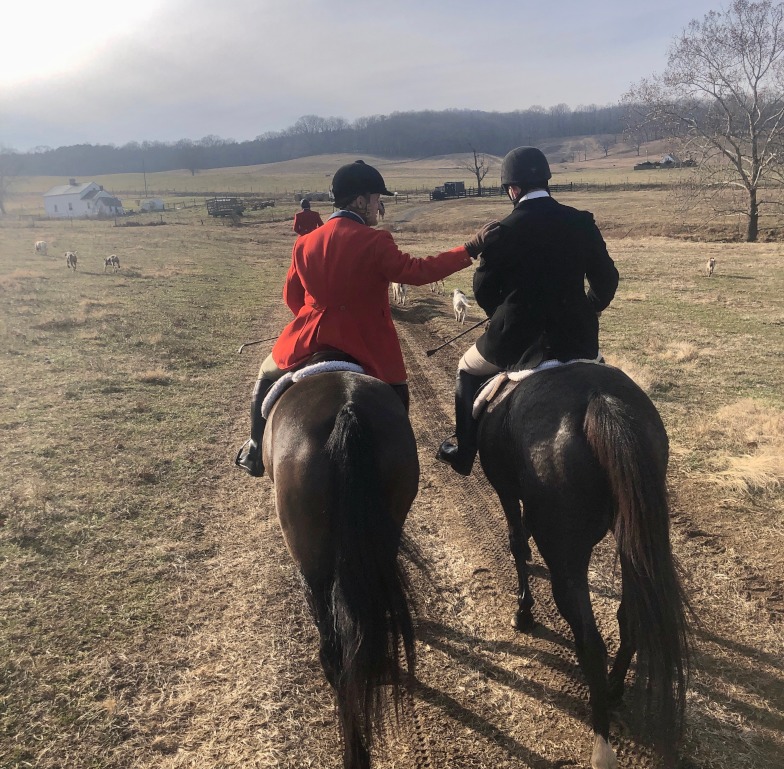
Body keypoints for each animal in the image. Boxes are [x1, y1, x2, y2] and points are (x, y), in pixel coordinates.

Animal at [478, 362, 692, 768]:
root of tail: (600, 400)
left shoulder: (505, 491)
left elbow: (516, 543)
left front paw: (524, 612)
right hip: (631, 542)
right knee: (630, 617)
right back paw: (612, 690)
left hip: (566, 554)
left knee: (590, 642)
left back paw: (601, 742)